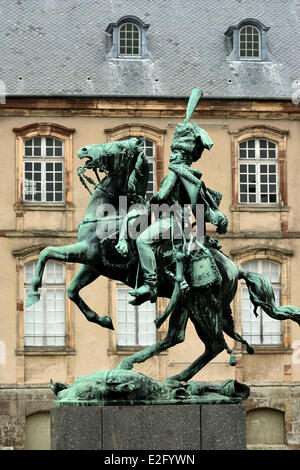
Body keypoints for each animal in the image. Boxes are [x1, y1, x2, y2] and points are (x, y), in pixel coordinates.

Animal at [25, 138, 300, 384]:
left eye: (119, 146)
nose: (83, 149)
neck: (108, 214)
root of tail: (236, 268)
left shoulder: (87, 252)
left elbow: (46, 252)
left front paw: (33, 293)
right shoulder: (94, 266)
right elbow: (71, 289)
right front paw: (102, 319)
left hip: (202, 304)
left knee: (212, 344)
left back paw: (156, 370)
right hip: (185, 302)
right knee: (180, 338)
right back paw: (165, 375)